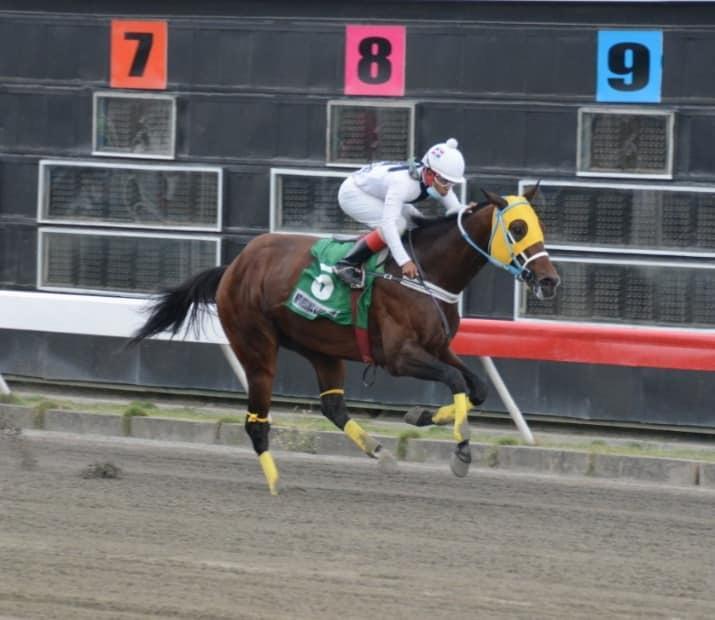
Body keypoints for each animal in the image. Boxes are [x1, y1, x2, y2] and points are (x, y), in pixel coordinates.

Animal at [131, 185, 564, 494]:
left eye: (538, 226)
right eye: (517, 228)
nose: (549, 280)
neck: (422, 271)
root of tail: (234, 266)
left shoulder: (439, 347)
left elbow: (477, 388)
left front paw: (421, 416)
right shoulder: (400, 356)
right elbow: (458, 382)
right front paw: (461, 449)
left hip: (322, 349)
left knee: (333, 407)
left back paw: (379, 451)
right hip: (256, 347)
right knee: (256, 422)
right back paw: (276, 483)